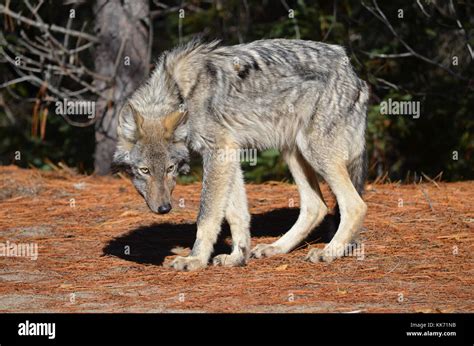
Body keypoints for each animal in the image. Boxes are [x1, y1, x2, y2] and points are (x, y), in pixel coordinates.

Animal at [113, 37, 368, 270]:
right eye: (144, 171)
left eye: (170, 168)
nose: (164, 209)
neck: (182, 93)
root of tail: (355, 74)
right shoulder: (229, 155)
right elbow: (237, 215)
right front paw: (237, 257)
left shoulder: (218, 152)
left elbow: (207, 215)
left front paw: (195, 260)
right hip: (293, 152)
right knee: (316, 207)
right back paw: (275, 248)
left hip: (314, 151)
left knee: (355, 205)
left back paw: (329, 252)